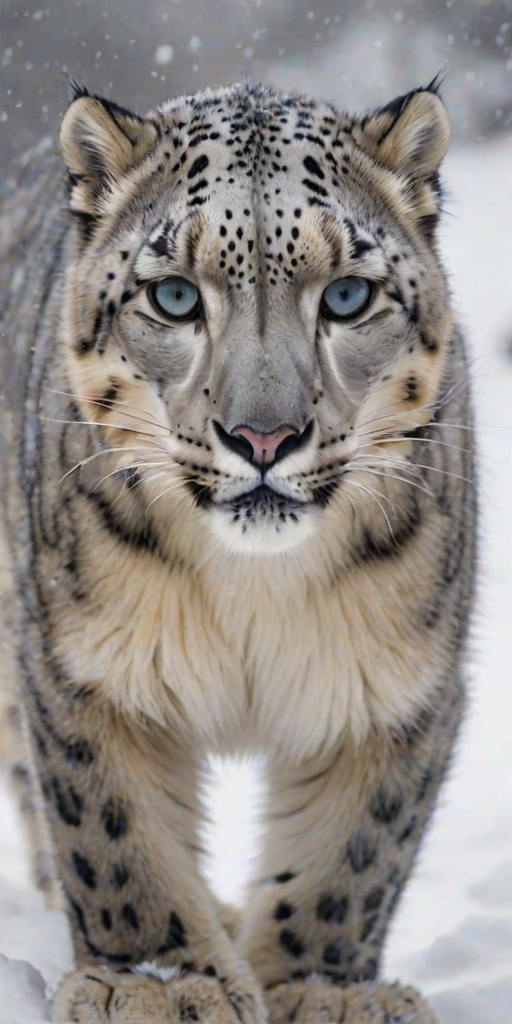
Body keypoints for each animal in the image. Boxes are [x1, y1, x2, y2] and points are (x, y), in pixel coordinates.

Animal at [0, 77, 477, 1024]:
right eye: (176, 298)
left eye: (347, 296)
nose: (264, 436)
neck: (256, 592)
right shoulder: (85, 665)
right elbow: (110, 829)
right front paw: (157, 982)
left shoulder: (399, 682)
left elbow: (356, 852)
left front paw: (320, 989)